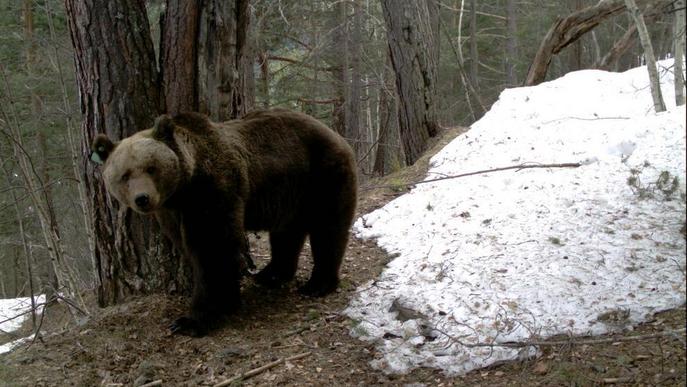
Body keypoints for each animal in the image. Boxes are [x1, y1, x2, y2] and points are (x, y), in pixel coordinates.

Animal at [90, 108, 358, 336]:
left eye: (151, 168)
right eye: (125, 175)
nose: (143, 199)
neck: (182, 190)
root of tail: (334, 133)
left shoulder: (212, 192)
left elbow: (212, 249)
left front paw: (192, 320)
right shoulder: (171, 212)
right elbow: (191, 247)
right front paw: (227, 300)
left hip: (322, 175)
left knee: (327, 229)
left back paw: (318, 284)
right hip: (290, 192)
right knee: (286, 234)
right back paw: (271, 274)